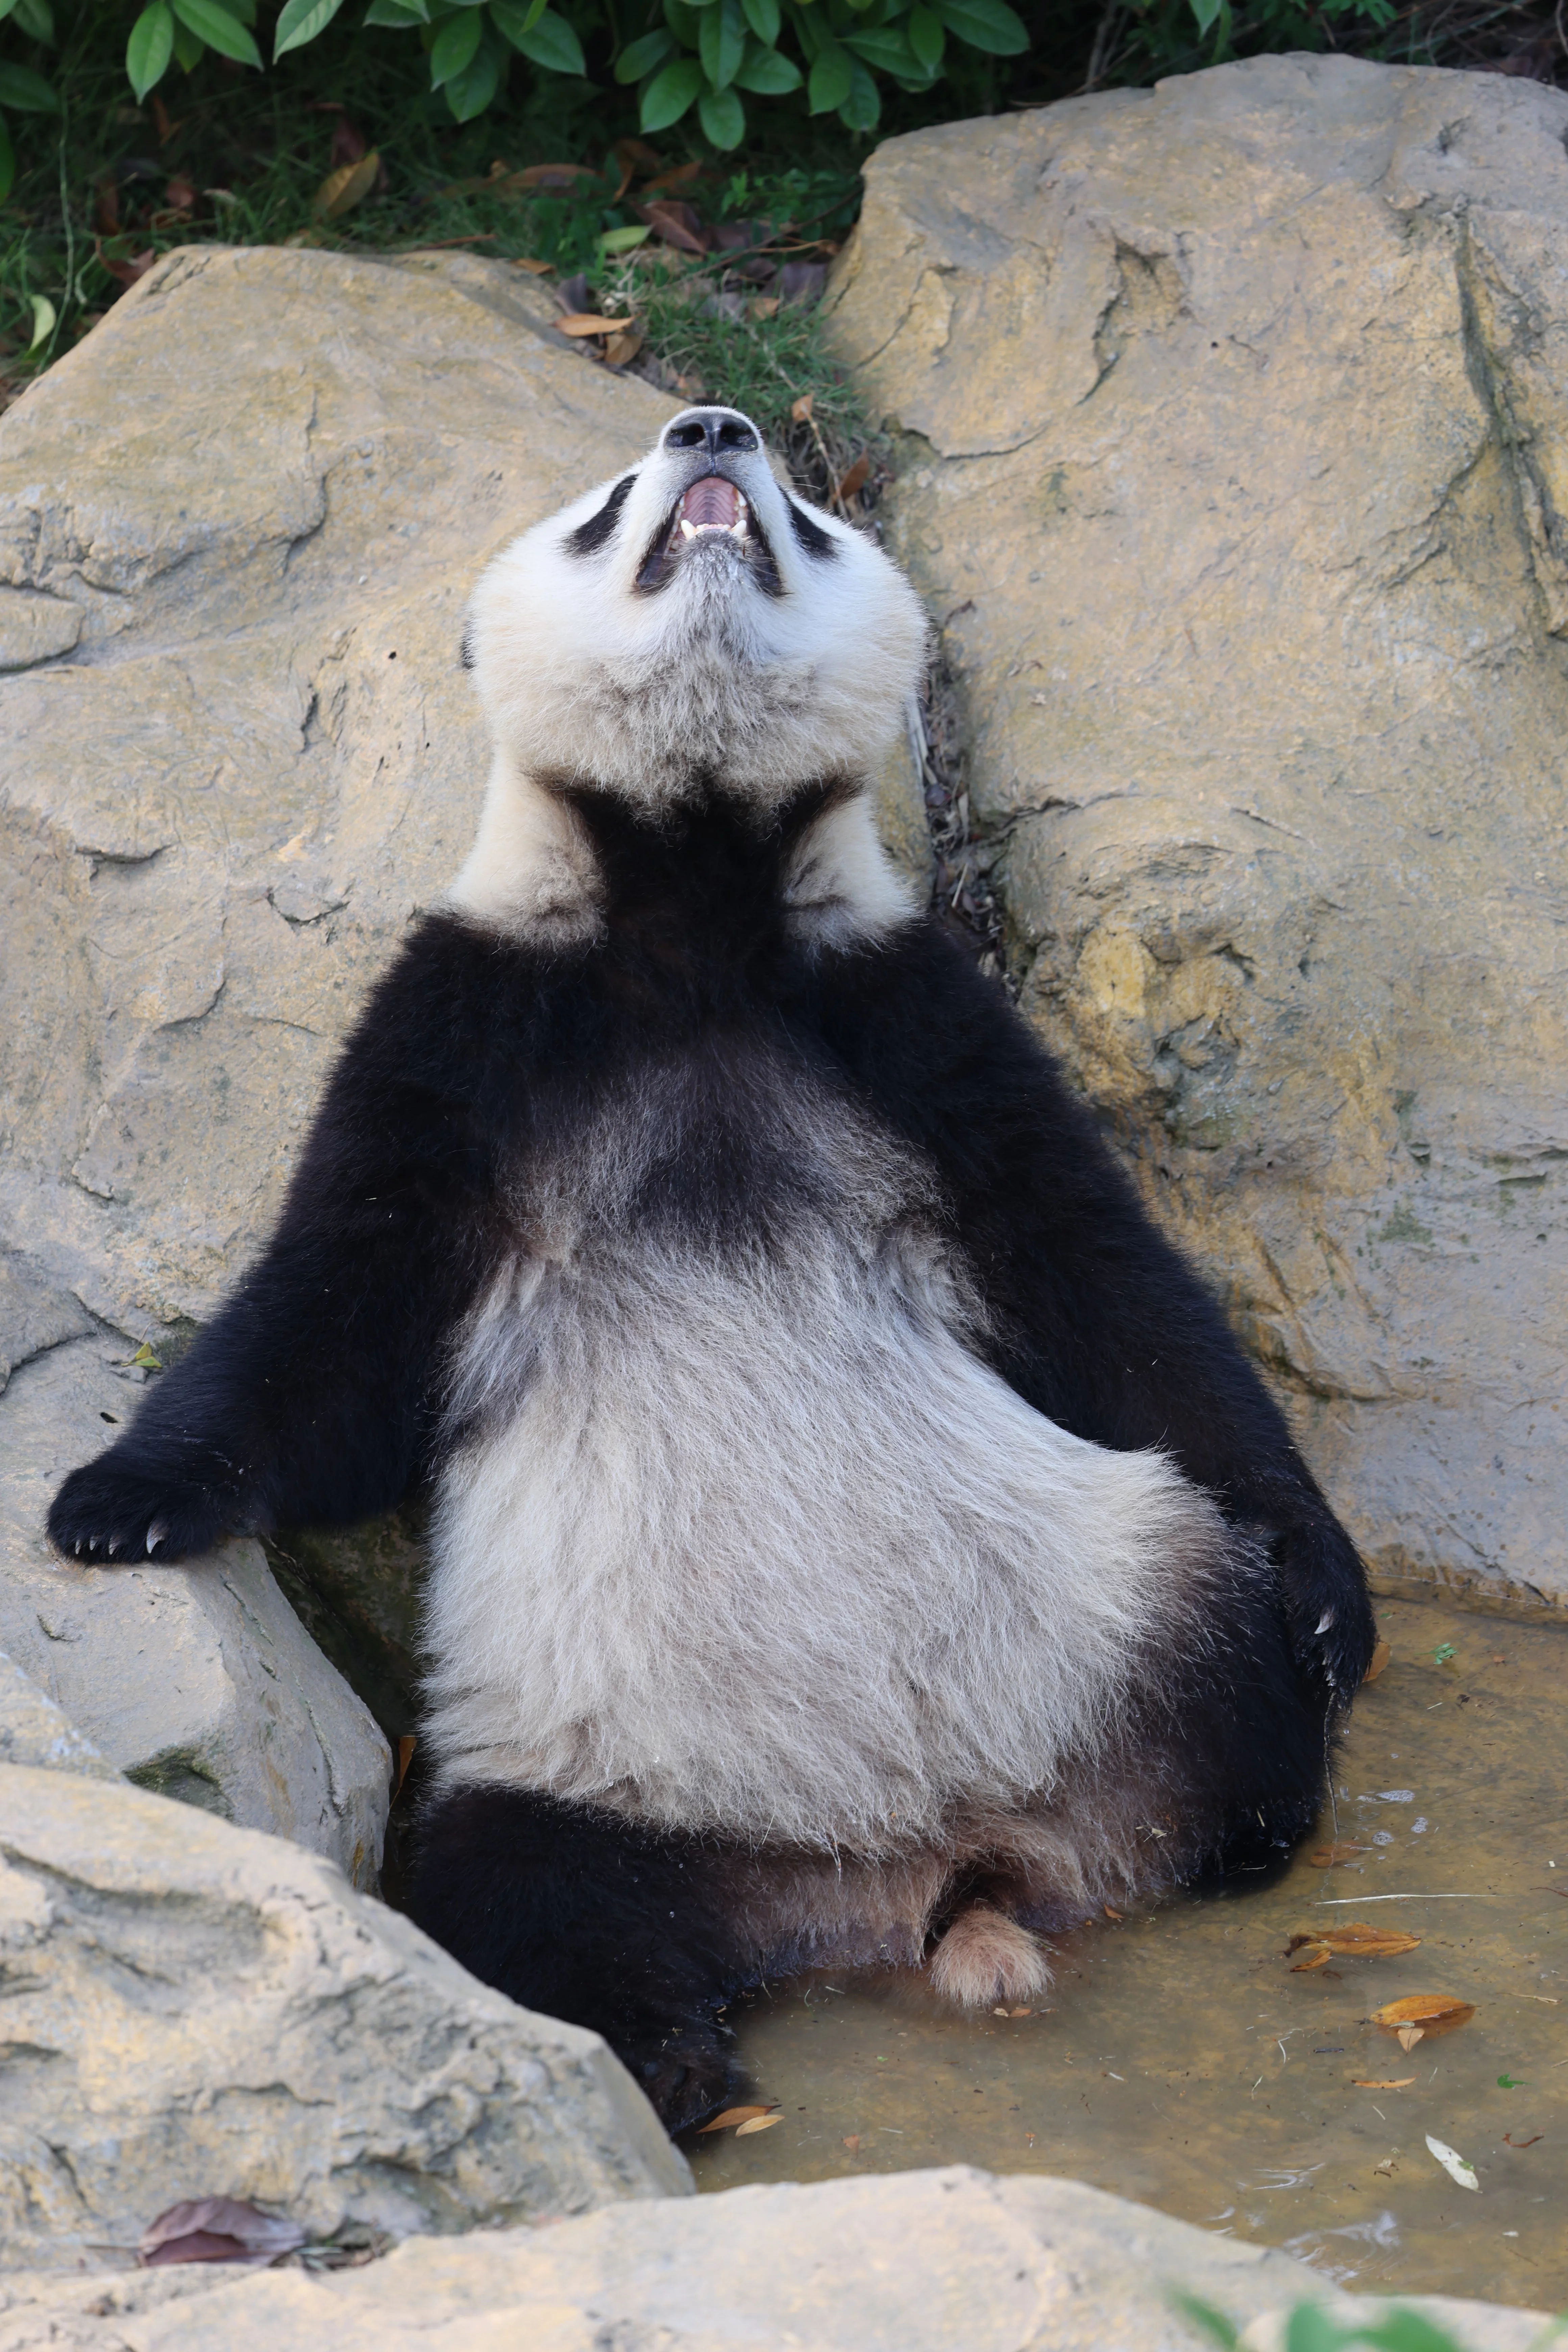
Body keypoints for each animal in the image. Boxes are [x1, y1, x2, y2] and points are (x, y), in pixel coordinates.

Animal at [49, 404, 1375, 2132]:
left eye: (803, 513)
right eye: (604, 505)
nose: (712, 428)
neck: (690, 892)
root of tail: (932, 1866)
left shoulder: (902, 1014)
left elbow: (1105, 1290)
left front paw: (1332, 1590)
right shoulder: (469, 1024)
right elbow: (333, 1327)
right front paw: (117, 1500)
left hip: (1112, 1606)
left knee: (1226, 1649)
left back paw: (1251, 1805)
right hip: (586, 1763)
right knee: (512, 1893)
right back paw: (674, 2056)